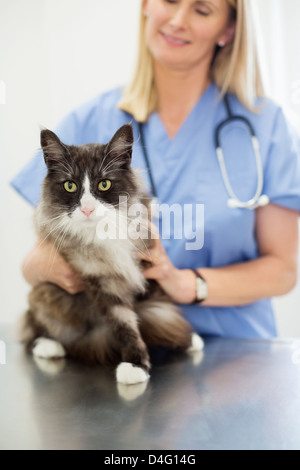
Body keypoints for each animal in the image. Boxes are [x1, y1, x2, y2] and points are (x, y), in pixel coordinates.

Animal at [19, 123, 204, 384]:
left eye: (104, 184)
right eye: (70, 186)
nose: (87, 209)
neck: (103, 233)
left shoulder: (145, 267)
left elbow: (155, 311)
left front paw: (187, 339)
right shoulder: (102, 281)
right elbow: (125, 325)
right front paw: (135, 365)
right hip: (42, 292)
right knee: (31, 327)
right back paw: (48, 345)